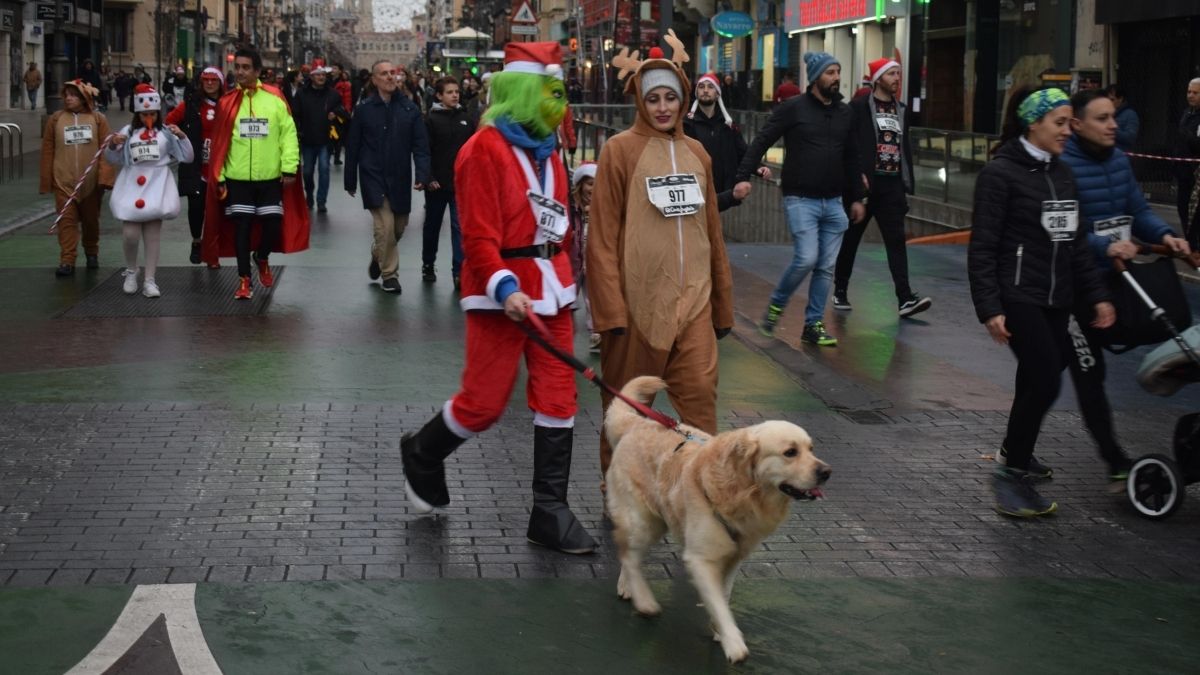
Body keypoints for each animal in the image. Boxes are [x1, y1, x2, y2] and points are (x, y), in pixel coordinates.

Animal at [604, 374, 830, 658]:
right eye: (790, 452)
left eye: (811, 449)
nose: (827, 472)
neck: (743, 491)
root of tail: (637, 422)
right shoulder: (700, 559)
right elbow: (719, 605)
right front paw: (733, 642)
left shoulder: (735, 557)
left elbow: (722, 597)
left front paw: (719, 631)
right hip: (644, 519)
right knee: (629, 553)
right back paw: (643, 600)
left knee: (629, 551)